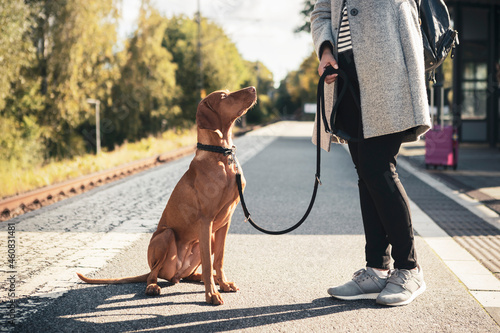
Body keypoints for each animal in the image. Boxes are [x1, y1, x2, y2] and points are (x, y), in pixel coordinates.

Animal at [79, 85, 258, 304]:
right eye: (224, 96)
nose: (253, 88)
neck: (221, 156)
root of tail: (175, 273)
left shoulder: (225, 223)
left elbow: (219, 260)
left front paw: (222, 285)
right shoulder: (205, 220)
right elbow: (209, 264)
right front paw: (211, 294)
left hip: (206, 240)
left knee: (190, 274)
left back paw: (207, 279)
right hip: (166, 235)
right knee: (153, 274)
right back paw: (153, 287)